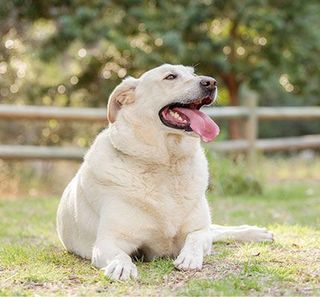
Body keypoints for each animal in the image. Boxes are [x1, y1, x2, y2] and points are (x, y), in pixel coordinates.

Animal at [56, 63, 272, 278]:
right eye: (170, 77)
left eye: (193, 73)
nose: (211, 82)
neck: (166, 165)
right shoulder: (108, 241)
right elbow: (120, 254)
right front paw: (121, 266)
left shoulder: (197, 230)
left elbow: (196, 238)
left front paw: (190, 257)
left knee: (215, 229)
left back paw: (256, 232)